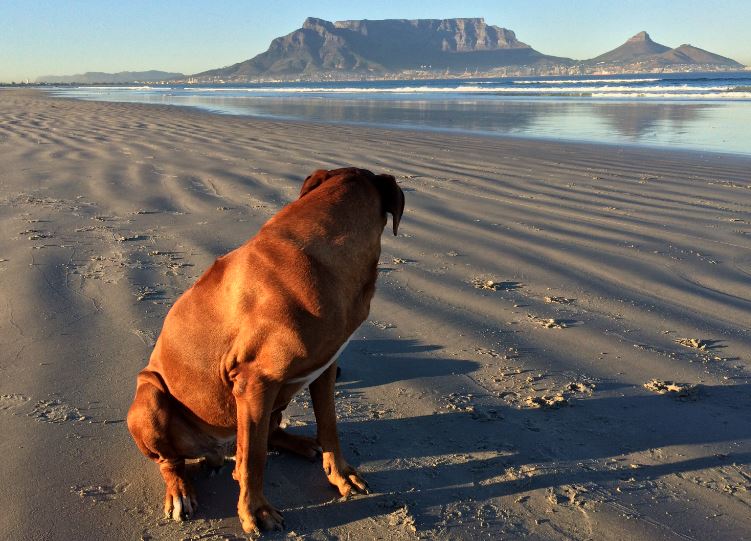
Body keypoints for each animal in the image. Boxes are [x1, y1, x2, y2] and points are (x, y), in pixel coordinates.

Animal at [126, 168, 406, 532]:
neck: (323, 260)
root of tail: (216, 450)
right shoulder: (255, 382)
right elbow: (253, 460)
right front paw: (255, 510)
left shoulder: (326, 368)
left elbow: (329, 425)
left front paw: (341, 475)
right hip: (150, 397)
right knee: (172, 460)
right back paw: (179, 490)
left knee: (267, 436)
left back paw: (301, 444)